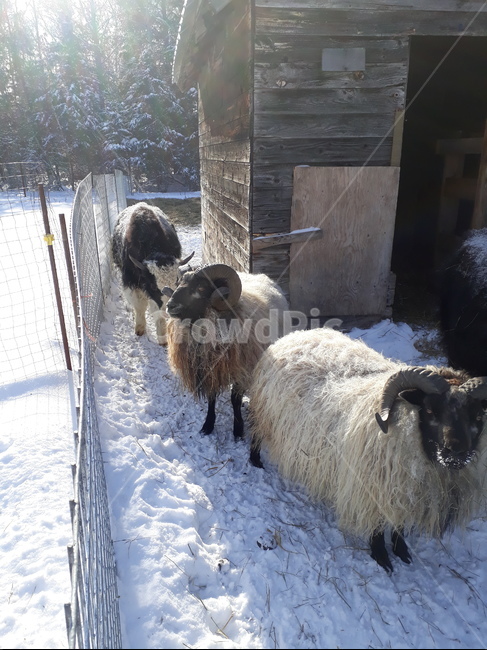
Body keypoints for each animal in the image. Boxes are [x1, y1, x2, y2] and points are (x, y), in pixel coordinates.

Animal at [111, 202, 194, 345]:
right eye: (154, 287)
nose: (169, 309)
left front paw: (162, 337)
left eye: (176, 283)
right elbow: (140, 305)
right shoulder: (132, 281)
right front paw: (139, 329)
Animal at [163, 263, 289, 439]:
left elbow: (235, 400)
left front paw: (238, 429)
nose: (170, 306)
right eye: (178, 283)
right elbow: (211, 397)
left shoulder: (241, 370)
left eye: (201, 287)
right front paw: (208, 425)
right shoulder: (210, 369)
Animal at [248, 326, 487, 573]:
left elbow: (399, 526)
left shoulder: (404, 492)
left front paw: (402, 551)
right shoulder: (371, 487)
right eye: (430, 411)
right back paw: (255, 461)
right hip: (265, 413)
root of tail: (296, 334)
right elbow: (377, 528)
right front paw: (381, 557)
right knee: (255, 433)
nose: (457, 452)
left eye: (478, 415)